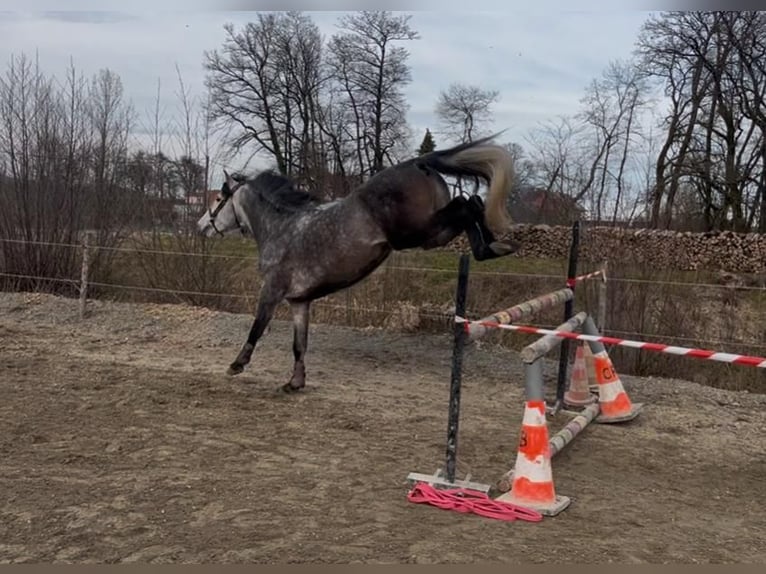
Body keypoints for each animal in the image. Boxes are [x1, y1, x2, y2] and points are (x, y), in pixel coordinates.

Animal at [196, 134, 519, 393]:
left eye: (218, 198)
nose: (201, 227)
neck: (281, 228)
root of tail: (416, 163)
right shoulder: (300, 302)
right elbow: (299, 344)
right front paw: (295, 383)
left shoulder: (272, 291)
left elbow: (257, 327)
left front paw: (236, 365)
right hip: (432, 234)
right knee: (472, 203)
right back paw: (495, 247)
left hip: (416, 233)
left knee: (469, 204)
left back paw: (492, 247)